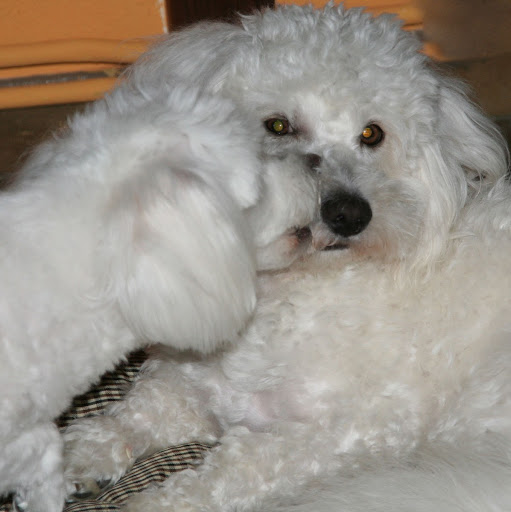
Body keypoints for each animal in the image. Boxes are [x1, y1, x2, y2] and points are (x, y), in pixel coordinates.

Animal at [61, 4, 511, 512]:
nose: (349, 214)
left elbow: (235, 466)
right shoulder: (195, 383)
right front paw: (80, 451)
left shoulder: (350, 432)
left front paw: (157, 502)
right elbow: (142, 407)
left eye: (372, 133)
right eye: (278, 125)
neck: (290, 291)